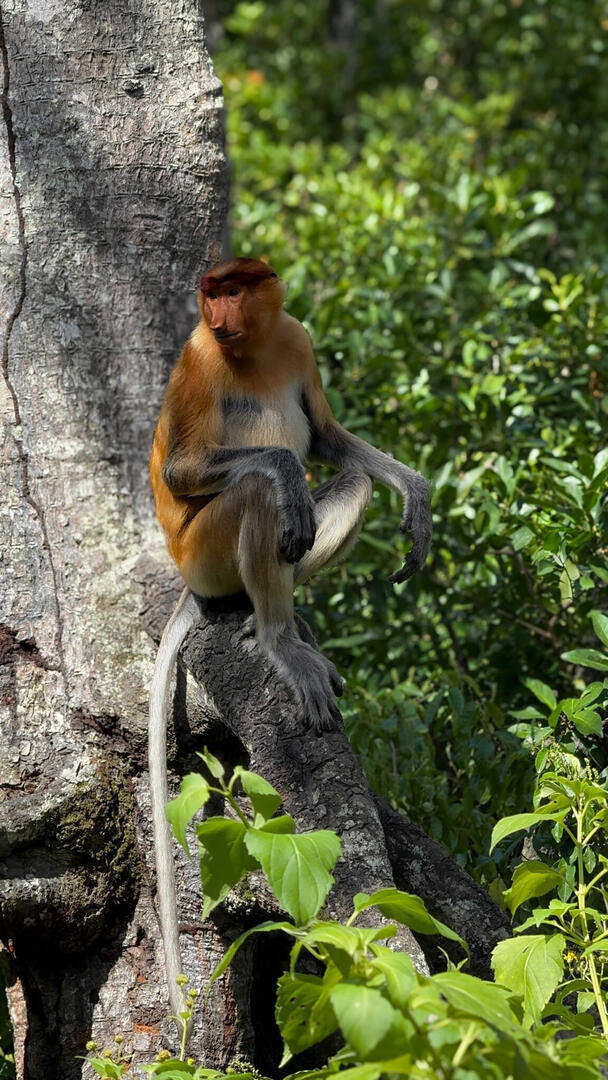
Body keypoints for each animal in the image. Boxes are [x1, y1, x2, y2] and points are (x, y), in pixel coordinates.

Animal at [148, 257, 432, 1018]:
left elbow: (329, 438)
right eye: (211, 294)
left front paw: (417, 494)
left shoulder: (296, 339)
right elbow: (188, 466)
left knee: (352, 481)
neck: (250, 347)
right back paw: (276, 634)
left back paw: (276, 618)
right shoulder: (198, 355)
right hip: (204, 552)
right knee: (257, 495)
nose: (218, 310)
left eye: (235, 289)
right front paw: (280, 466)